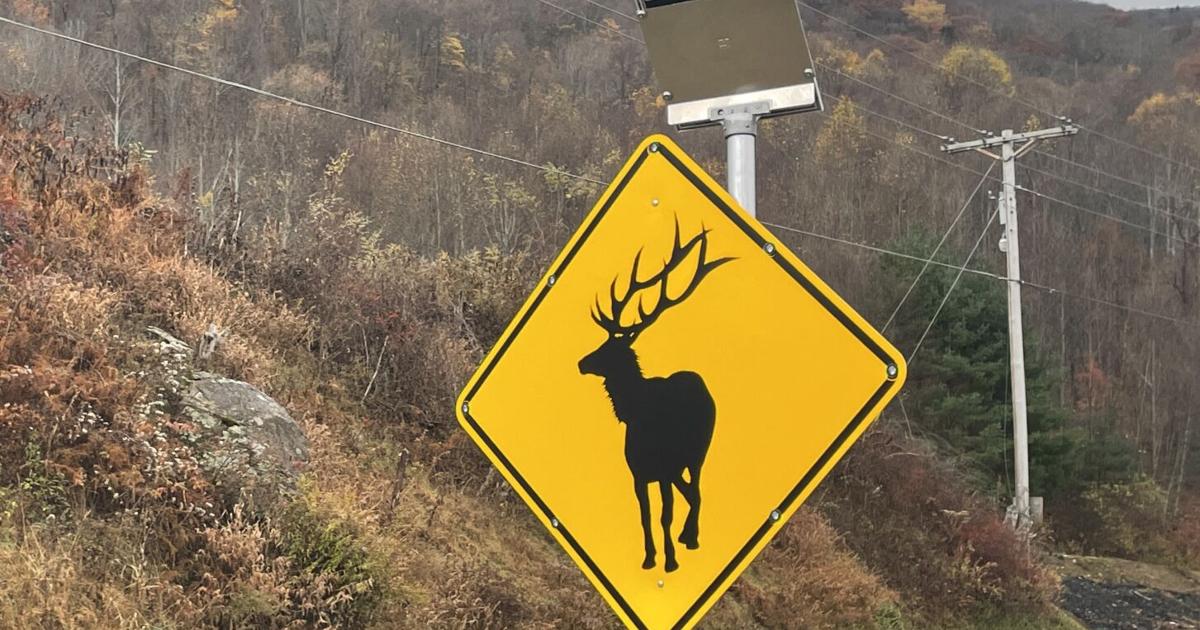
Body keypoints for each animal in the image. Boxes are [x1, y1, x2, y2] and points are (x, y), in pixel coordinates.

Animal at [578, 220, 734, 573]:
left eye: (610, 349)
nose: (581, 362)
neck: (637, 414)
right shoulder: (639, 474)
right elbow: (646, 517)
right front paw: (649, 558)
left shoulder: (663, 471)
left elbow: (665, 515)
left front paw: (670, 561)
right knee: (691, 493)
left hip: (698, 453)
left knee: (696, 490)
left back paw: (691, 536)